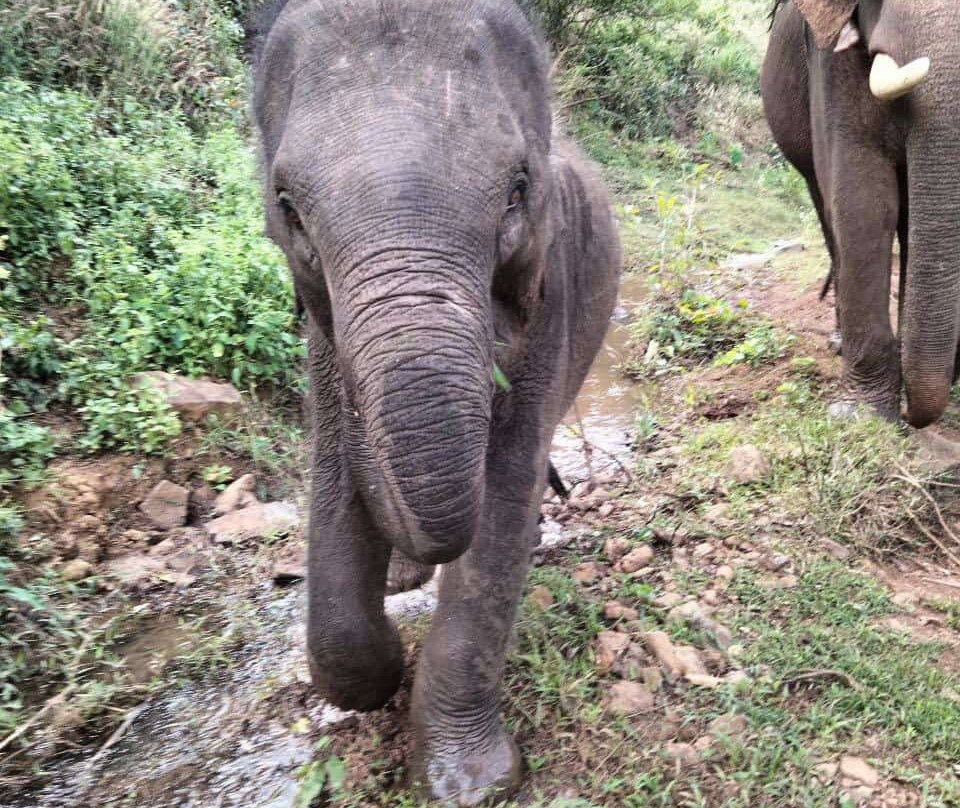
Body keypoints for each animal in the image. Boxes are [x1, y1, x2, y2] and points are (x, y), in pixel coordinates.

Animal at [251, 0, 621, 803]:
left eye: (518, 189)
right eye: (287, 206)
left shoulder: (551, 292)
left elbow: (504, 497)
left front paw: (473, 784)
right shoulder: (321, 334)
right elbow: (333, 477)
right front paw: (379, 670)